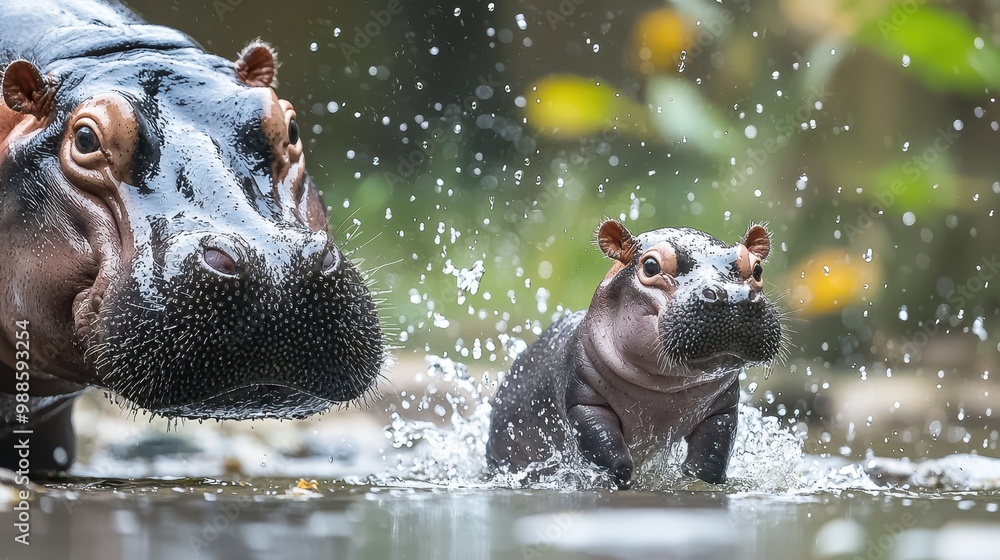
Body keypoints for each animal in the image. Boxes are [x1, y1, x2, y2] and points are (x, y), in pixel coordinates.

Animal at [487, 219, 783, 487]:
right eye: (650, 265)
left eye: (757, 268)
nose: (733, 296)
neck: (664, 389)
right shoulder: (584, 400)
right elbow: (609, 452)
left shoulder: (723, 408)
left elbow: (711, 458)